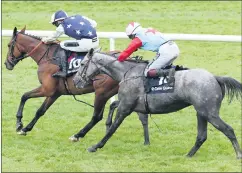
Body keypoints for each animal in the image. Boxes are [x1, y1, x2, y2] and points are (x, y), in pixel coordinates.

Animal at [4, 25, 149, 145]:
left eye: (9, 45)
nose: (7, 64)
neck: (47, 57)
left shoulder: (46, 89)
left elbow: (24, 96)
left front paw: (19, 123)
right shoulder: (55, 93)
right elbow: (40, 111)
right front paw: (25, 128)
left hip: (101, 92)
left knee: (97, 117)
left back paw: (77, 135)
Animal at [73, 49, 242, 159]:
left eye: (81, 64)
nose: (75, 81)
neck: (127, 72)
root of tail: (215, 77)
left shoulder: (126, 107)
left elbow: (113, 127)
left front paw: (95, 146)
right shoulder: (131, 105)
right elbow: (113, 106)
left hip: (209, 112)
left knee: (229, 130)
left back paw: (238, 155)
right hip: (201, 112)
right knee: (202, 136)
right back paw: (188, 155)